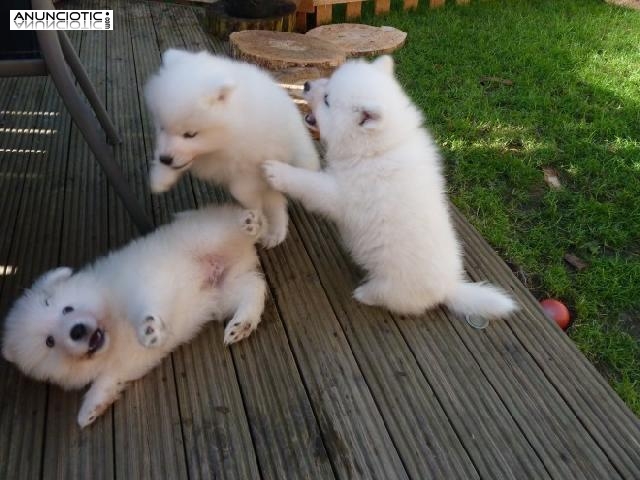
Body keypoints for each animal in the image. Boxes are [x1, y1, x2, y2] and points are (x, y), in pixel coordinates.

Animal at [1, 206, 264, 428]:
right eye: (49, 342)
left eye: (67, 309)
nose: (77, 330)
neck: (112, 329)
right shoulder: (120, 367)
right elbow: (105, 383)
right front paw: (89, 410)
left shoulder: (141, 285)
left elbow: (143, 308)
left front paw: (148, 330)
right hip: (224, 293)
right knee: (255, 289)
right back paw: (241, 324)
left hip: (205, 236)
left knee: (236, 226)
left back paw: (249, 222)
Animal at [144, 49, 320, 248]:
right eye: (161, 127)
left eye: (190, 134)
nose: (165, 159)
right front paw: (160, 177)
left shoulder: (251, 165)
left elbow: (242, 191)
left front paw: (254, 214)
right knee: (276, 201)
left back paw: (273, 231)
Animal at [262, 55, 516, 318]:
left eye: (327, 100)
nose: (307, 85)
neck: (379, 148)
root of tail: (448, 287)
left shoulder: (340, 194)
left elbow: (308, 183)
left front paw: (277, 171)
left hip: (394, 286)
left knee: (387, 297)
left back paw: (364, 294)